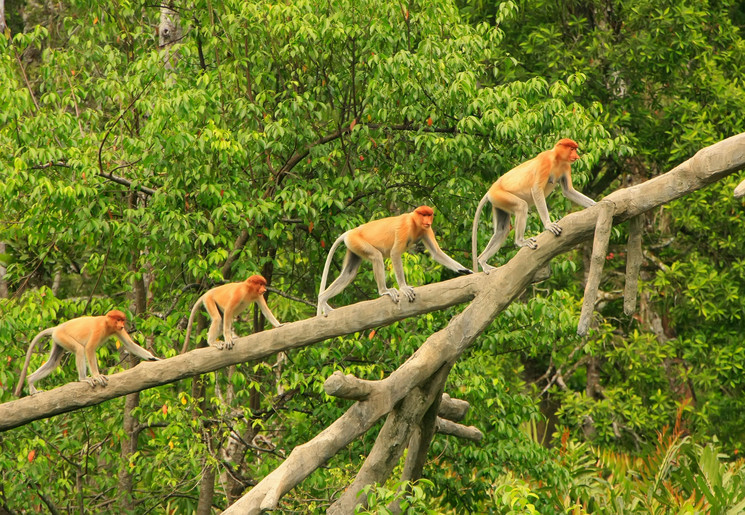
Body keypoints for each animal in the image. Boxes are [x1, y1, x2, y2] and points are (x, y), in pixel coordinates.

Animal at [14, 310, 160, 400]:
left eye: (122, 320)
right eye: (118, 319)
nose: (122, 325)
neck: (107, 323)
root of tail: (57, 328)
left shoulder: (117, 330)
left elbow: (130, 345)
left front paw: (154, 358)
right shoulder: (99, 329)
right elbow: (89, 349)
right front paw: (97, 376)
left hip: (58, 340)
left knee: (53, 362)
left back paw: (30, 381)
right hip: (62, 336)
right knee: (80, 349)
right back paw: (83, 378)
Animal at [316, 206, 470, 318]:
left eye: (429, 215)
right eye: (423, 215)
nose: (428, 221)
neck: (414, 222)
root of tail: (351, 231)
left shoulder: (426, 230)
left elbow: (436, 253)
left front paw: (465, 270)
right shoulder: (405, 227)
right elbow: (395, 253)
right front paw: (404, 288)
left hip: (353, 246)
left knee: (349, 273)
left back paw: (323, 299)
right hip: (357, 241)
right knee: (376, 257)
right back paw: (384, 291)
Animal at [470, 137, 592, 274]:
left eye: (575, 149)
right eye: (572, 149)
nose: (576, 156)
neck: (556, 158)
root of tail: (490, 190)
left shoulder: (566, 166)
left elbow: (568, 191)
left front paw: (596, 204)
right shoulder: (545, 161)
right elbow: (537, 190)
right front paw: (549, 225)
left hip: (498, 203)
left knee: (502, 230)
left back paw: (482, 260)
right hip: (500, 195)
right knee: (521, 206)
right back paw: (520, 242)